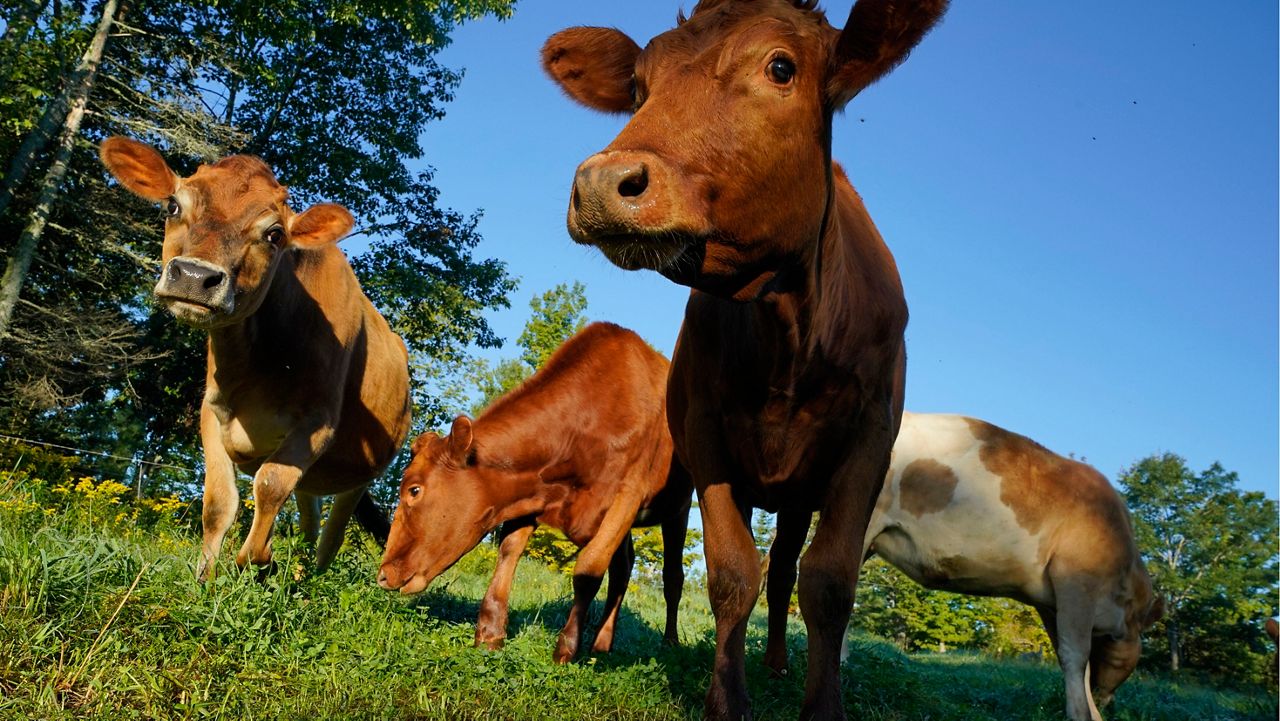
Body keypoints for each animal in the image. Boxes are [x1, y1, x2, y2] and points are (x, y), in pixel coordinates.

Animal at [99, 138, 409, 583]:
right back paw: (295, 572)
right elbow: (218, 503)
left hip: (364, 474)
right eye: (173, 205)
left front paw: (257, 560)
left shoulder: (317, 424)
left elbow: (269, 485)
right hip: (315, 480)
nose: (194, 277)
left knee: (331, 534)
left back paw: (309, 576)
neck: (255, 369)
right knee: (309, 518)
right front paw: (206, 576)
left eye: (274, 233)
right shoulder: (212, 412)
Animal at [376, 324, 691, 660]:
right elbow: (508, 551)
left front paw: (566, 649)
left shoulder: (627, 496)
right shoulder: (528, 494)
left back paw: (669, 643)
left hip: (678, 508)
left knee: (672, 577)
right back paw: (602, 645)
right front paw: (489, 634)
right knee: (623, 569)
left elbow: (589, 569)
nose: (383, 574)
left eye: (414, 490)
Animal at [542, 0, 952, 717]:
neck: (789, 330)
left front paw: (821, 703)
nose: (600, 184)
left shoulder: (868, 442)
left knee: (789, 568)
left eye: (780, 68)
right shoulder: (705, 436)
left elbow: (829, 582)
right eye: (639, 86)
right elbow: (733, 573)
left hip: (799, 491)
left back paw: (781, 662)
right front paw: (726, 698)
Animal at [762, 412, 1167, 721]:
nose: (1107, 700)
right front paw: (1086, 715)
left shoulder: (1052, 601)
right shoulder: (1077, 581)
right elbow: (1075, 656)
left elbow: (1068, 655)